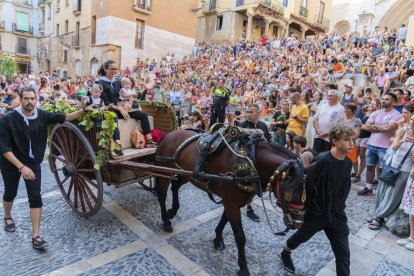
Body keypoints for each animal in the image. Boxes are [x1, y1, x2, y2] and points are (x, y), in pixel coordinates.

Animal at [154, 130, 304, 276]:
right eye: (289, 192)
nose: (298, 224)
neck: (250, 162)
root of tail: (169, 135)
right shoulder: (231, 203)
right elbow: (239, 236)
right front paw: (243, 267)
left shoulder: (233, 202)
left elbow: (224, 220)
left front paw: (217, 238)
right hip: (165, 169)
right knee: (162, 194)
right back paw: (166, 221)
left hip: (186, 174)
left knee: (175, 186)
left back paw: (173, 211)